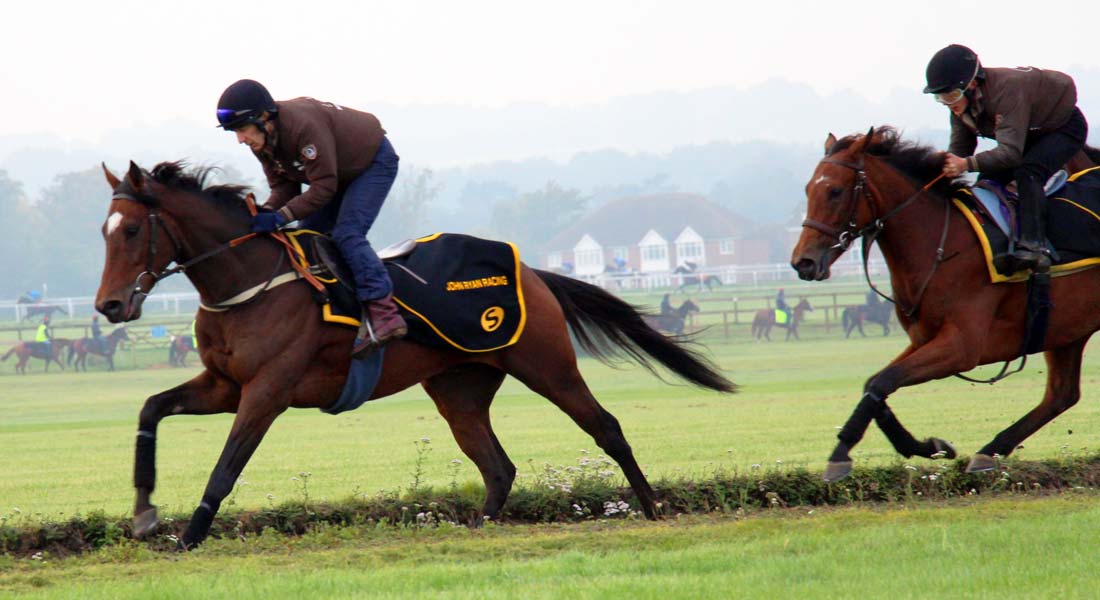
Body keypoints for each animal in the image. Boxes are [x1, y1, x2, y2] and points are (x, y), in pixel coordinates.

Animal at [94, 158, 734, 548]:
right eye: (104, 231)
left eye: (132, 230)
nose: (108, 305)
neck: (251, 282)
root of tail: (534, 273)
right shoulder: (224, 386)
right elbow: (151, 409)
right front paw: (145, 511)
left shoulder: (267, 391)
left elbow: (226, 468)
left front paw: (189, 536)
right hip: (459, 388)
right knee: (497, 466)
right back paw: (476, 527)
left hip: (547, 365)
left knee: (606, 427)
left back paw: (652, 509)